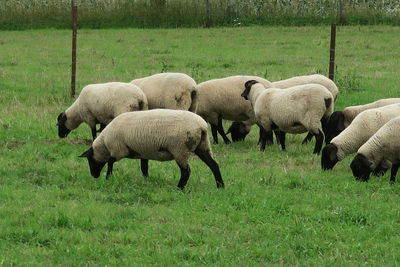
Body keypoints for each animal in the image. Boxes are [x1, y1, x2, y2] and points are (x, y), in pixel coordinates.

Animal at [76, 109, 223, 191]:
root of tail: (201, 126)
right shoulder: (142, 152)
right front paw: (146, 180)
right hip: (202, 146)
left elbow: (110, 162)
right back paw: (220, 186)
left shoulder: (119, 149)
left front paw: (108, 177)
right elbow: (144, 168)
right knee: (214, 165)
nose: (94, 176)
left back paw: (179, 188)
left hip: (180, 149)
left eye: (90, 160)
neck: (105, 143)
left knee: (186, 172)